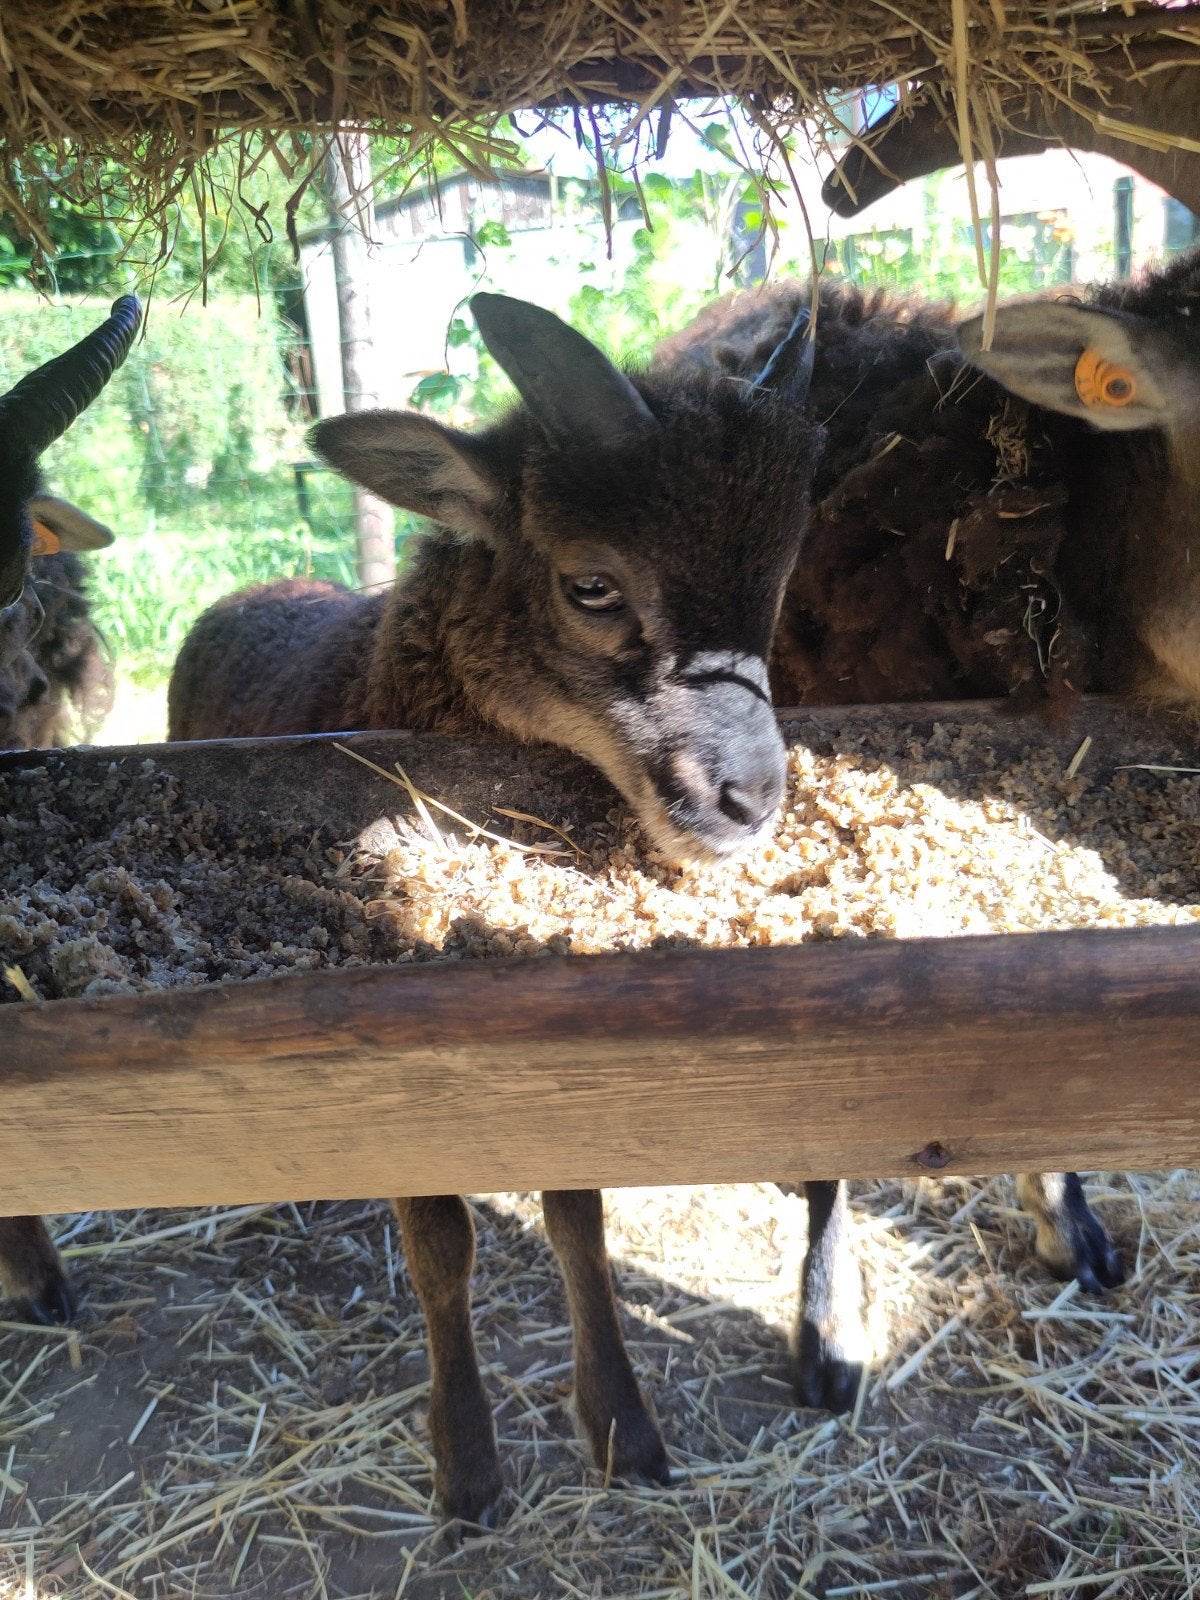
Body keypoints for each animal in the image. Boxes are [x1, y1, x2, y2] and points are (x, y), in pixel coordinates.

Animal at [161, 291, 823, 1522]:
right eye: (592, 584)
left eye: (780, 582)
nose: (751, 799)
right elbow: (441, 1242)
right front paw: (467, 1466)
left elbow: (577, 1218)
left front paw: (622, 1427)